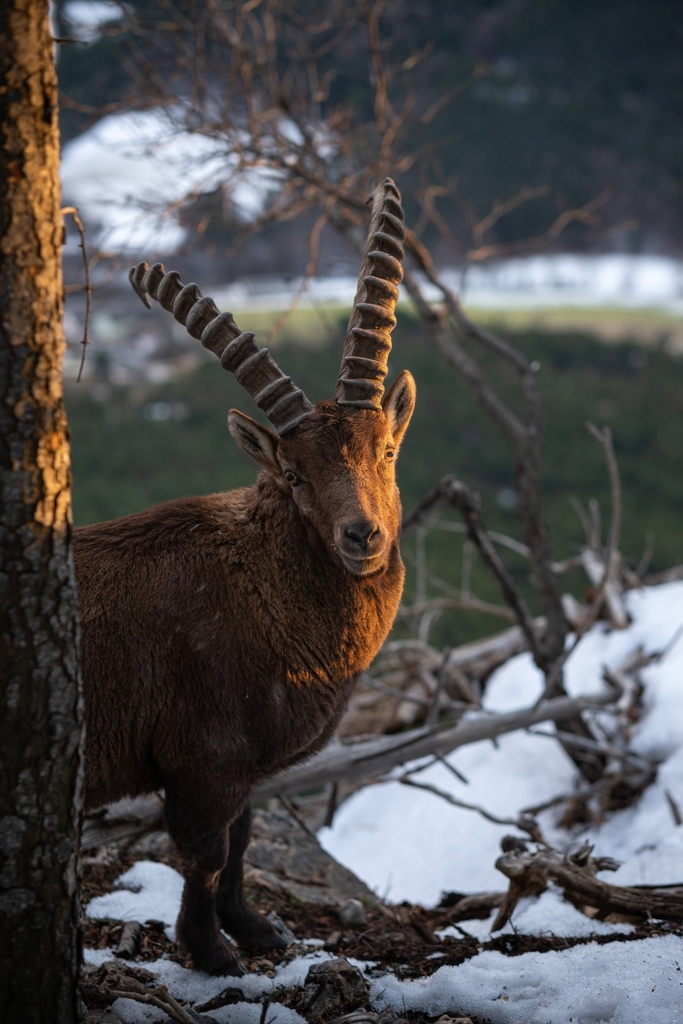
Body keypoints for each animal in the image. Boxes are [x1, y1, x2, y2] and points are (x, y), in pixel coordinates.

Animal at [74, 179, 416, 975]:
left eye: (385, 450)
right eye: (293, 474)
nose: (362, 535)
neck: (261, 589)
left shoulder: (246, 767)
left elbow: (242, 840)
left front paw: (256, 929)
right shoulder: (201, 756)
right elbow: (202, 853)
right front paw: (209, 953)